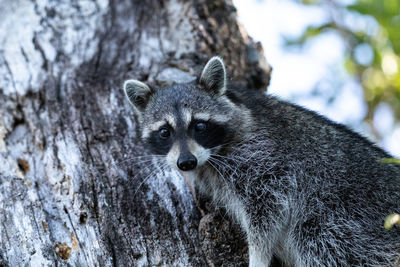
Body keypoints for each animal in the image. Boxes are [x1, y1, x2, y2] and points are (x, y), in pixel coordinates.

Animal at [122, 57, 400, 267]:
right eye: (164, 132)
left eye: (199, 126)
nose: (186, 163)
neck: (212, 156)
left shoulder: (266, 158)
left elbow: (269, 210)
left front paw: (258, 256)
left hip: (348, 214)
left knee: (320, 241)